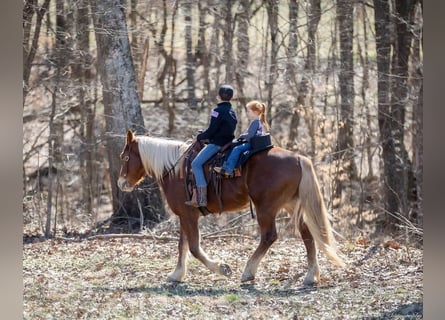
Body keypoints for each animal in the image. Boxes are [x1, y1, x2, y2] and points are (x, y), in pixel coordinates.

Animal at [117, 129, 344, 284]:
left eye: (125, 157)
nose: (121, 183)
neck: (176, 170)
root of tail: (298, 158)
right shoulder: (184, 215)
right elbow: (182, 245)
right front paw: (177, 274)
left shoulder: (189, 216)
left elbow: (194, 247)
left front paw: (222, 269)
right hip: (292, 205)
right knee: (307, 234)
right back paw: (311, 275)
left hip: (265, 208)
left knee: (269, 236)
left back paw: (248, 271)